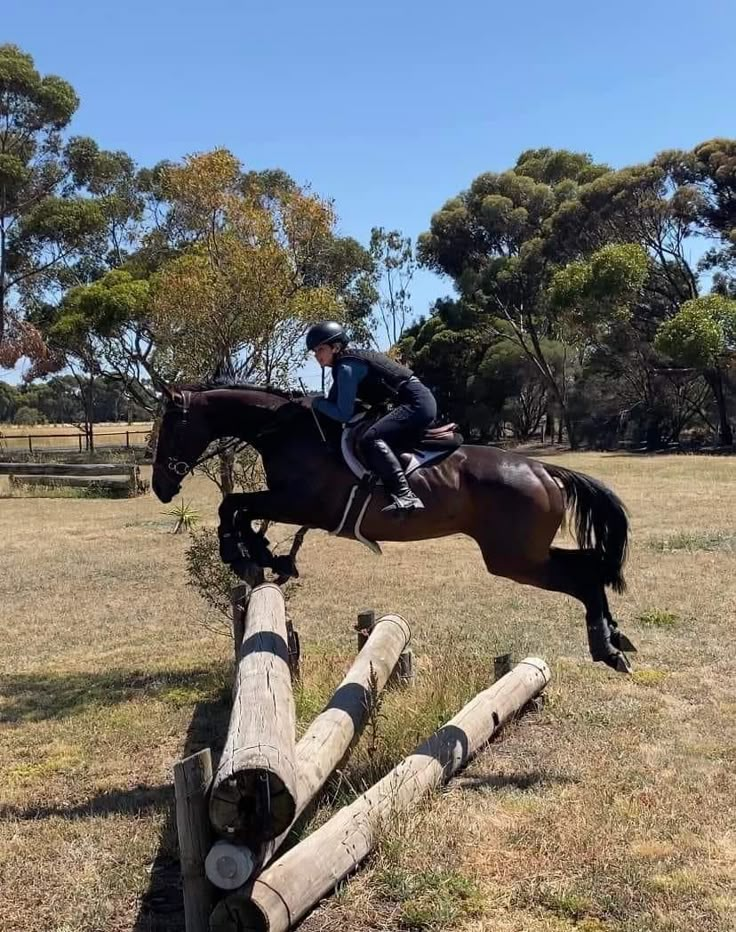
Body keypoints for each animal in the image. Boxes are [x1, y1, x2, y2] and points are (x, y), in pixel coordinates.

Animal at [152, 382, 636, 672]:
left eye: (169, 431)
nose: (160, 488)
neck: (286, 431)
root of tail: (543, 468)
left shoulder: (302, 504)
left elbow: (232, 505)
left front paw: (243, 554)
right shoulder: (292, 505)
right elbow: (238, 510)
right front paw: (267, 556)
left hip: (514, 558)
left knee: (583, 575)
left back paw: (606, 647)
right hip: (525, 553)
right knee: (590, 565)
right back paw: (614, 638)